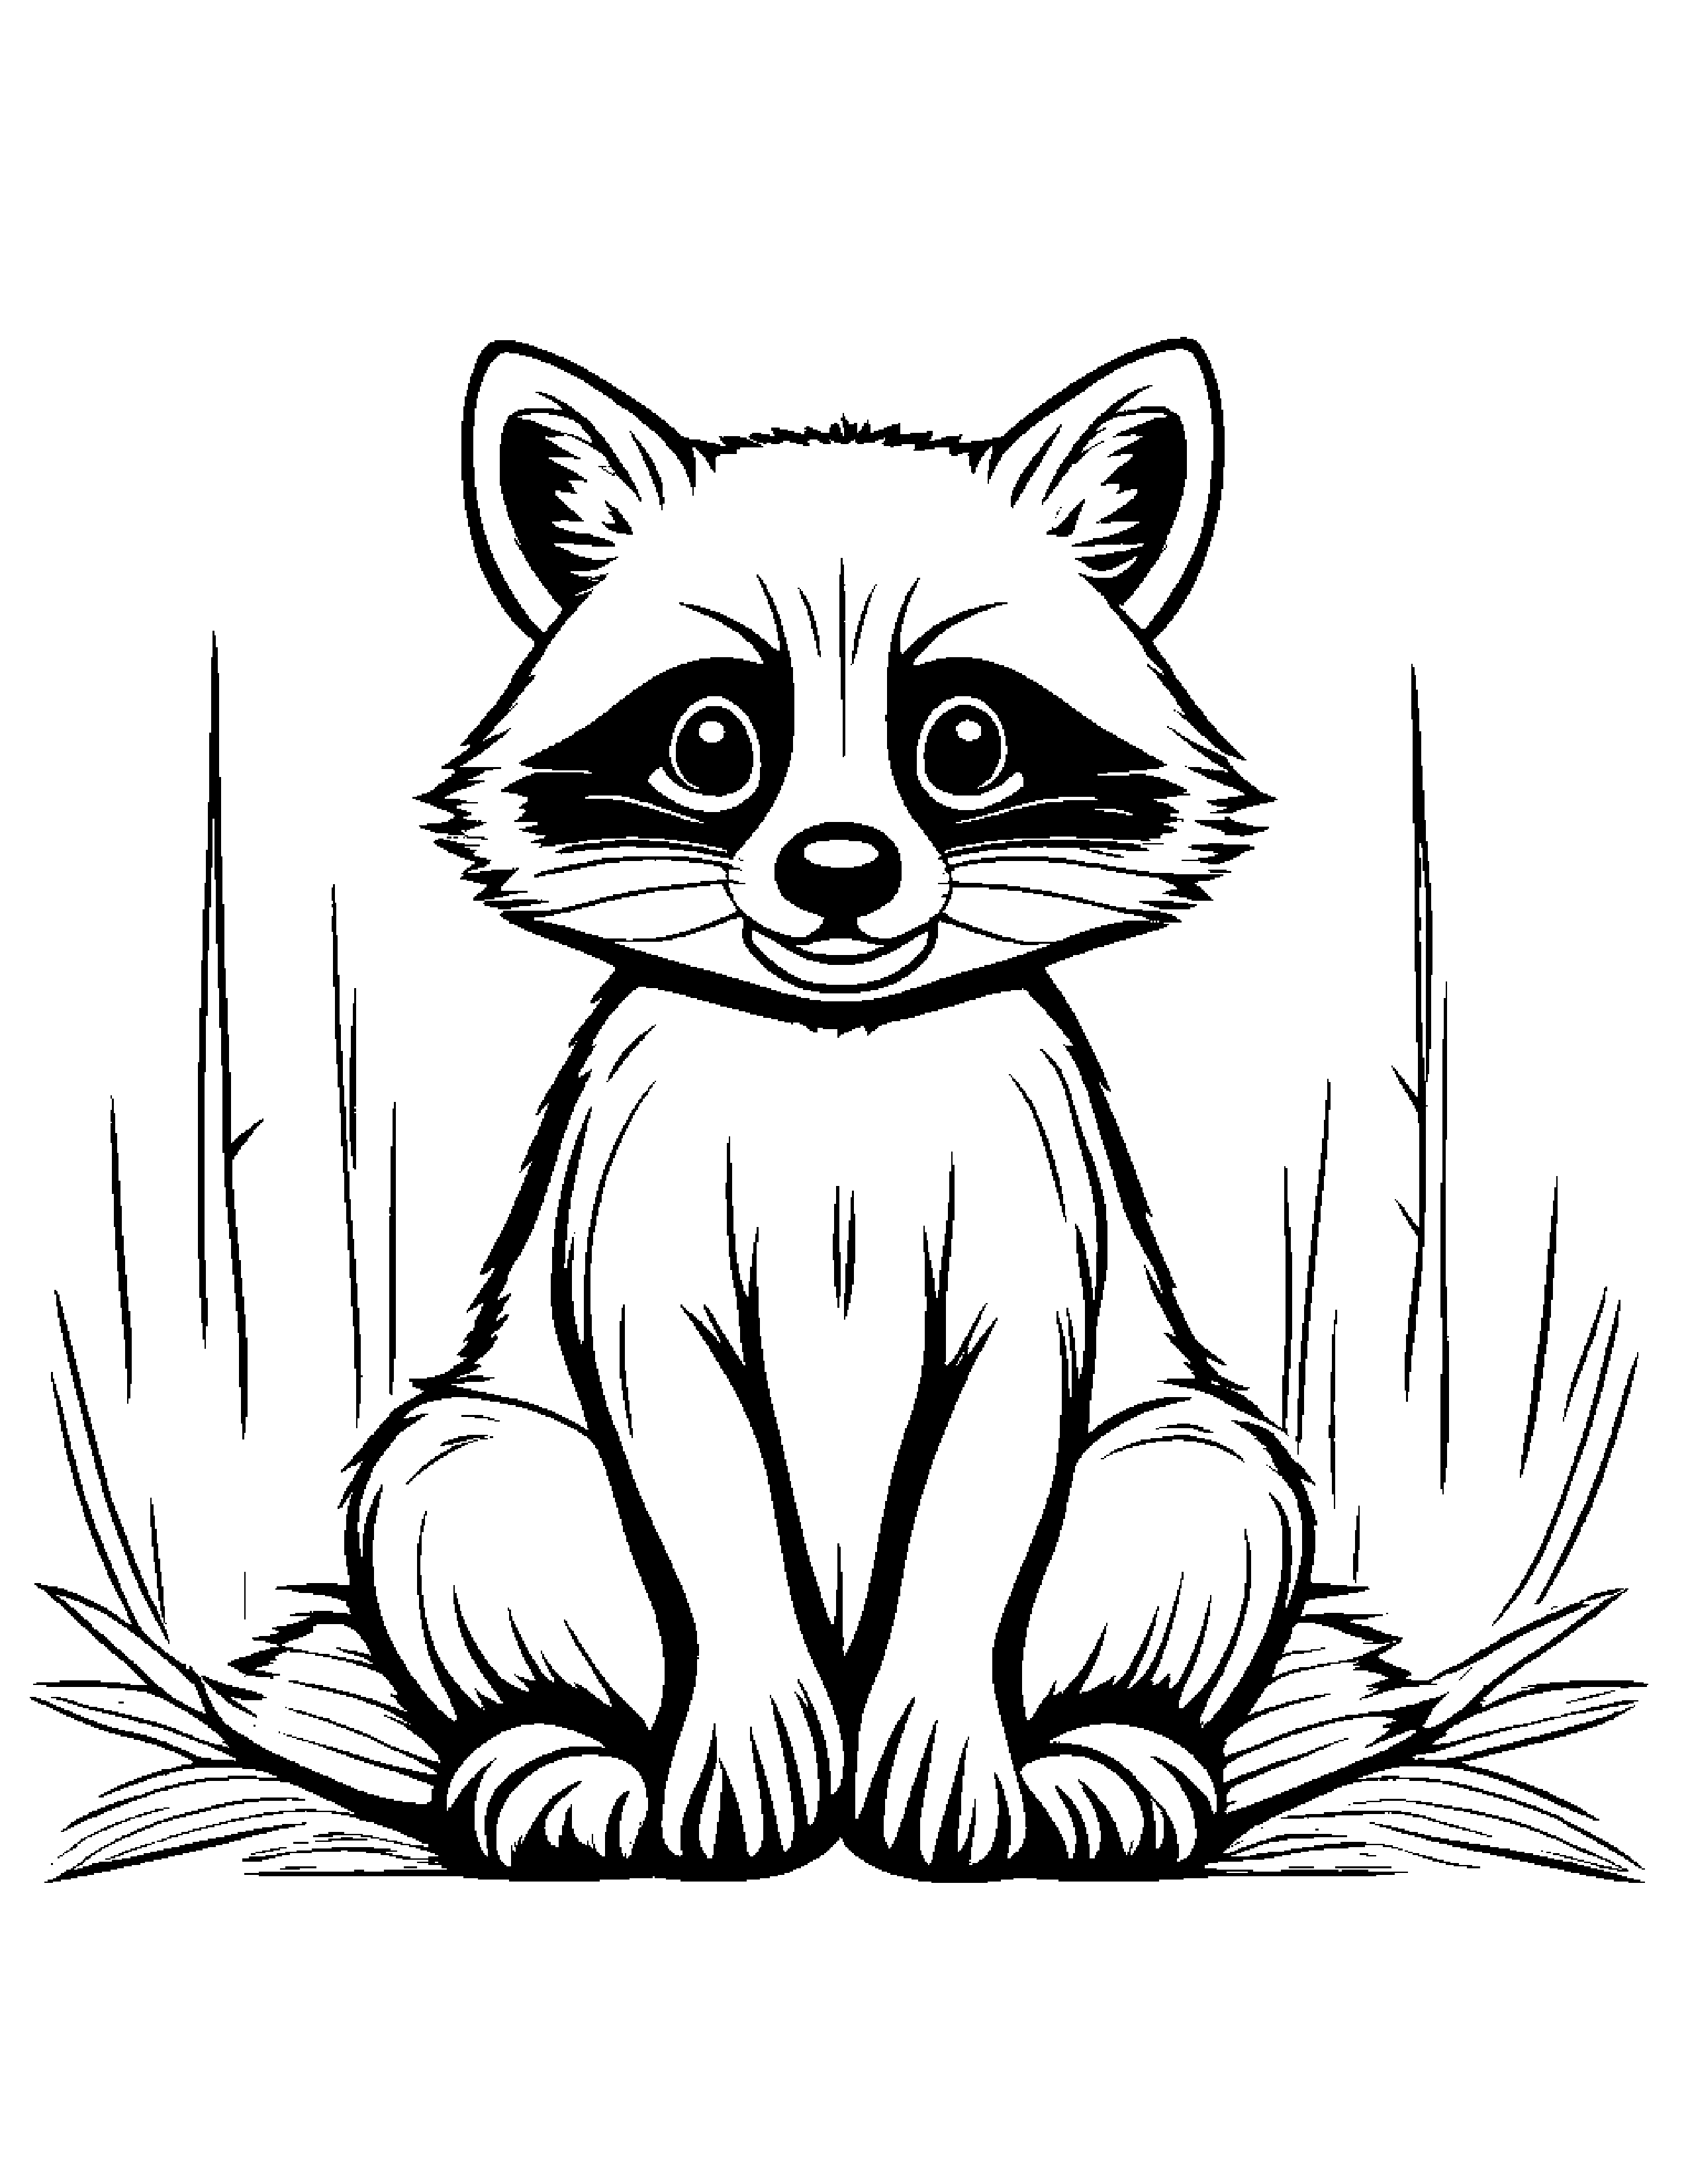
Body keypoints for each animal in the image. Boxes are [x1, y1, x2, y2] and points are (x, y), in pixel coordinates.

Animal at [344, 340, 1313, 1878]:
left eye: (966, 743)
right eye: (712, 745)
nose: (840, 871)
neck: (838, 1052)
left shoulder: (1034, 1190)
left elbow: (992, 1464)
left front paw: (951, 1745)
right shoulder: (640, 1182)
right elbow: (693, 1452)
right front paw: (745, 1730)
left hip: (1175, 1467)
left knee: (1203, 1491)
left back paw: (1113, 1747)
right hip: (495, 1473)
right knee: (457, 1490)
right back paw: (556, 1750)